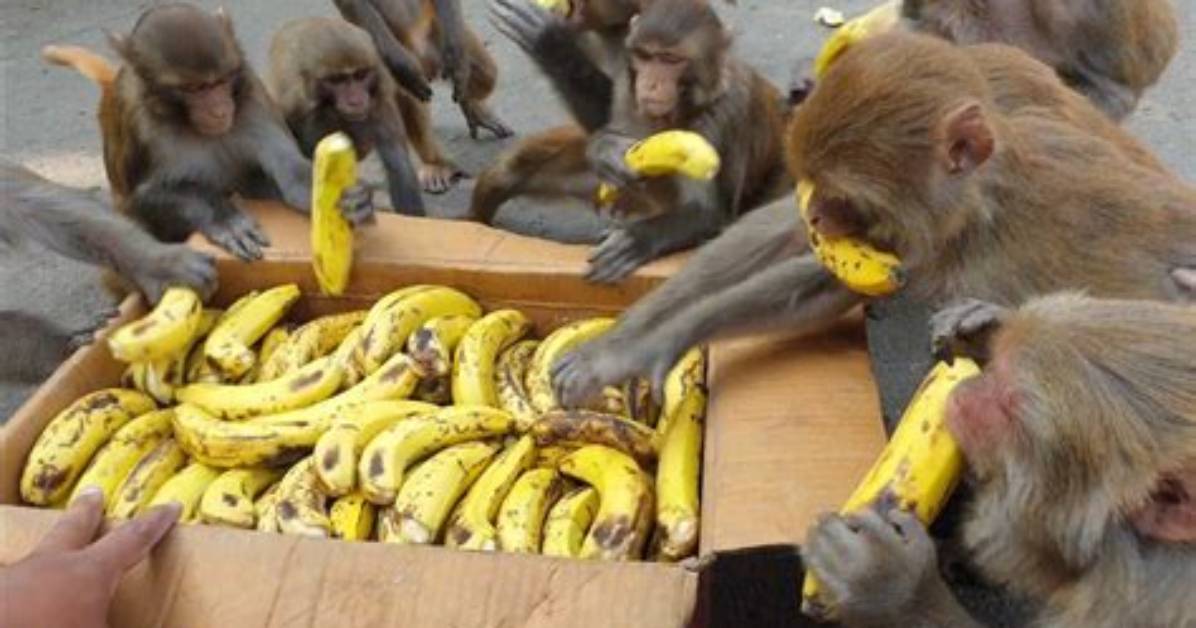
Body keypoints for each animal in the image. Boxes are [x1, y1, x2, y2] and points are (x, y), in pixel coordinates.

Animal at [42, 4, 373, 263]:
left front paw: (356, 199)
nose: (219, 110)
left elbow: (291, 174)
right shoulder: (137, 122)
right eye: (195, 88)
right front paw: (225, 219)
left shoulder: (252, 96)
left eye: (221, 81)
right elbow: (141, 198)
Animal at [267, 17, 425, 216]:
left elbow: (398, 164)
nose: (356, 100)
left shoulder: (378, 99)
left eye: (360, 75)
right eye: (337, 80)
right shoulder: (292, 105)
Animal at [334, 0, 514, 194]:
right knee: (407, 96)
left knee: (487, 75)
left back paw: (471, 105)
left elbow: (462, 64)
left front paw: (456, 58)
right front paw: (403, 66)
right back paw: (434, 162)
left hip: (439, 32)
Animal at [478, 0, 790, 283]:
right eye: (645, 56)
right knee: (509, 173)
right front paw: (604, 150)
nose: (651, 84)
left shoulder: (725, 115)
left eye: (670, 59)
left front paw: (638, 240)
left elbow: (709, 212)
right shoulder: (627, 88)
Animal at [549, 32, 1196, 408]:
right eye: (819, 186)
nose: (817, 212)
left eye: (845, 195)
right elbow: (815, 283)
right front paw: (636, 344)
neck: (982, 210)